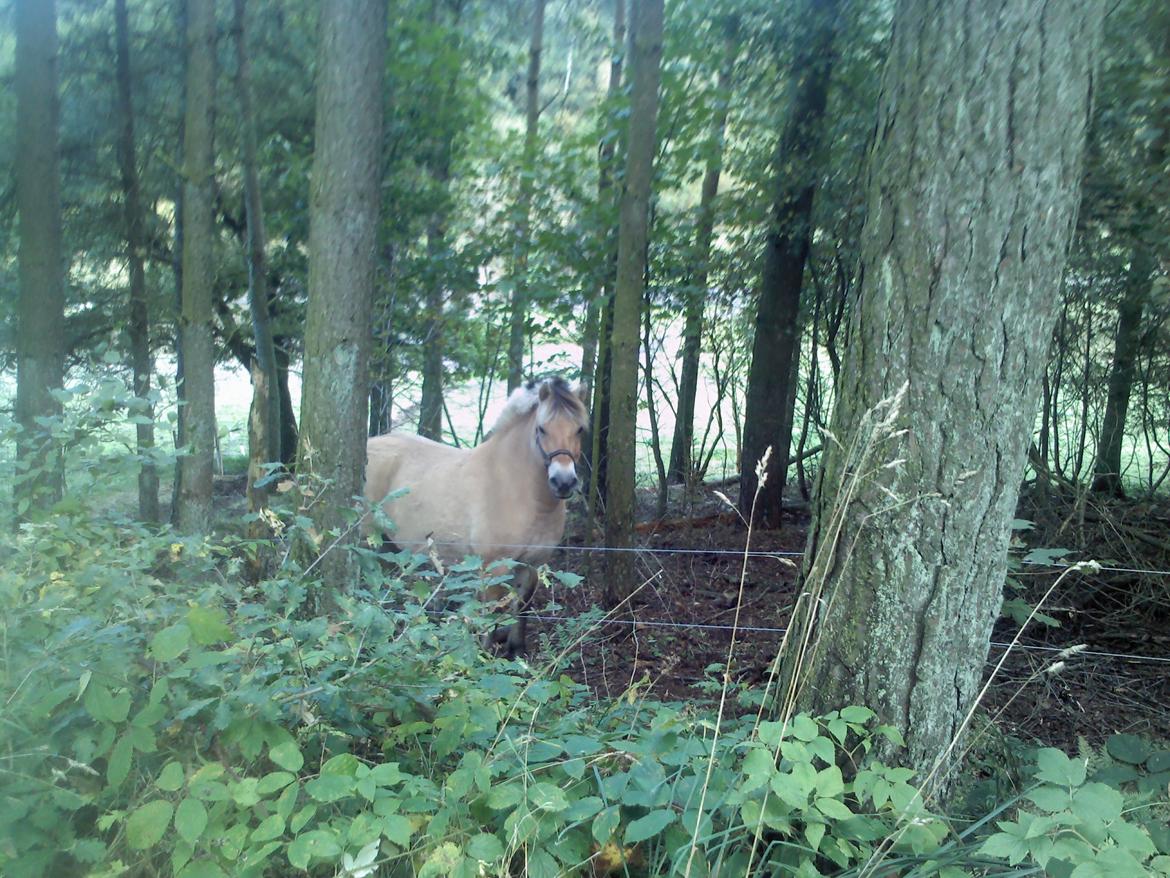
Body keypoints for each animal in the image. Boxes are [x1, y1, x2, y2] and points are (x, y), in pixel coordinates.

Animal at [362, 374, 589, 655]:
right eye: (541, 429)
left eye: (579, 429)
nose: (564, 482)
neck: (514, 487)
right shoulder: (492, 566)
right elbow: (488, 613)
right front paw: (482, 655)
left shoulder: (531, 564)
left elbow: (521, 607)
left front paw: (516, 651)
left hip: (387, 547)